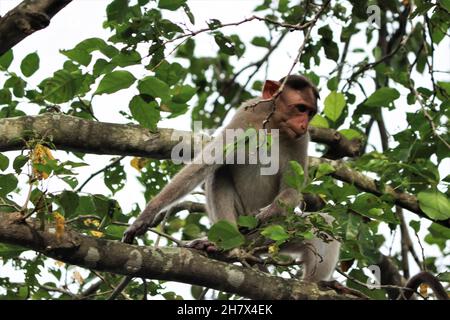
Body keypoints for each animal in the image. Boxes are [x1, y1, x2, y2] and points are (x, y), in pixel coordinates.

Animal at [123, 75, 342, 282]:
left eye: (310, 113)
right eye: (300, 108)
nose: (304, 124)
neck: (273, 125)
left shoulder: (301, 140)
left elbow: (293, 190)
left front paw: (267, 213)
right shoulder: (246, 114)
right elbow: (207, 162)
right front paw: (148, 213)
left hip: (275, 234)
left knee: (324, 224)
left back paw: (315, 283)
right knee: (218, 173)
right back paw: (225, 246)